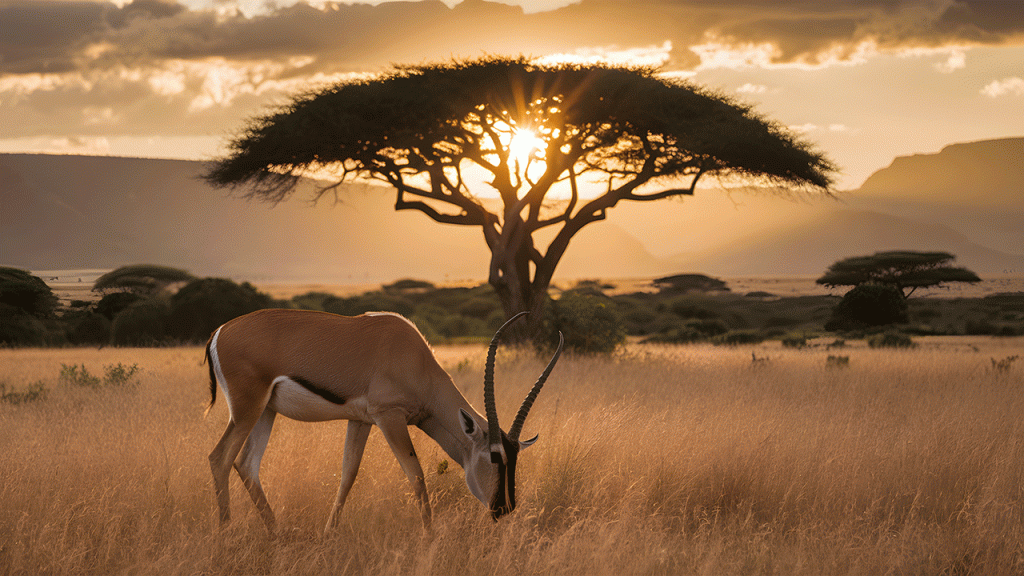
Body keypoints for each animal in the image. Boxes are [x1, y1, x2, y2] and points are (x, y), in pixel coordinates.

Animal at [203, 307, 565, 532]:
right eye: (493, 456)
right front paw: (429, 537)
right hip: (248, 410)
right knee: (220, 458)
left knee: (246, 464)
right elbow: (416, 476)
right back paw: (227, 533)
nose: (504, 508)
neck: (415, 359)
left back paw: (277, 533)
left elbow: (348, 475)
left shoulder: (360, 421)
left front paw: (328, 533)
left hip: (266, 411)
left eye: (516, 458)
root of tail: (218, 333)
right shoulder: (389, 417)